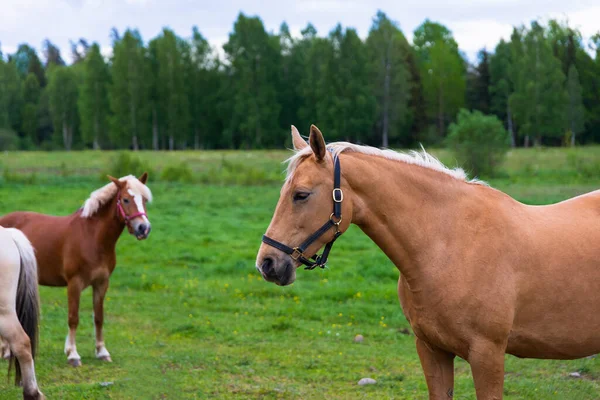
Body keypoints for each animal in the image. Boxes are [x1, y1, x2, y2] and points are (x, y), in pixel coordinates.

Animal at [0, 173, 152, 368]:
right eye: (125, 199)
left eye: (144, 200)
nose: (144, 228)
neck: (93, 237)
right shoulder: (74, 284)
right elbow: (73, 318)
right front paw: (73, 354)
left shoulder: (102, 283)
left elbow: (99, 317)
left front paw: (102, 352)